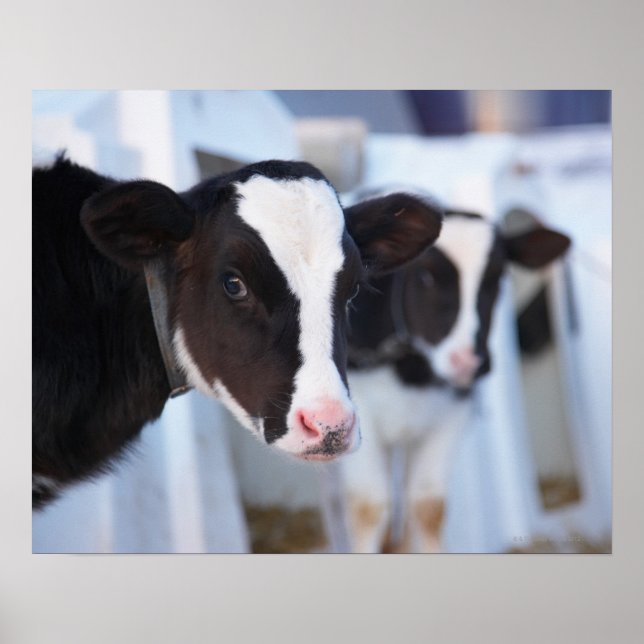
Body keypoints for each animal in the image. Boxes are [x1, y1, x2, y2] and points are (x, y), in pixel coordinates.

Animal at [335, 191, 571, 552]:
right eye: (425, 276)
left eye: (497, 278)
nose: (469, 361)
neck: (412, 370)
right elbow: (369, 507)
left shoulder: (453, 412)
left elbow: (428, 506)